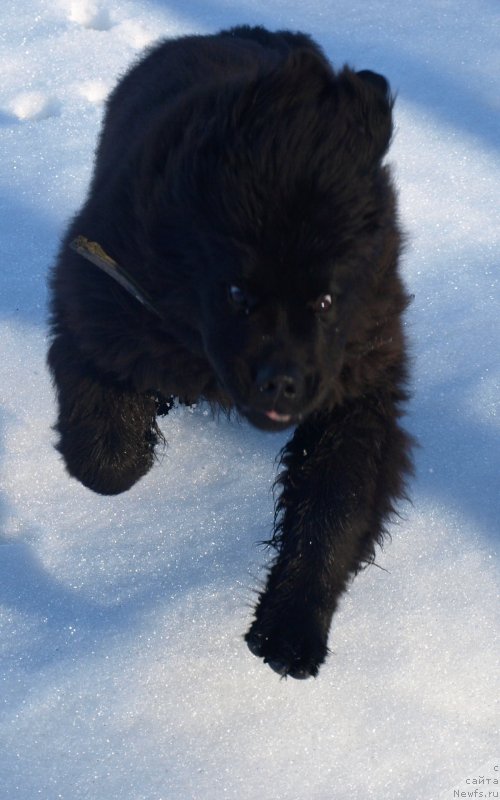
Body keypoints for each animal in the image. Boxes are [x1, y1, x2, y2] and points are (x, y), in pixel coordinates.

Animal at [47, 25, 414, 680]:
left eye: (326, 299)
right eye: (238, 293)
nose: (282, 382)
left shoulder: (360, 379)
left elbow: (334, 508)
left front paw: (290, 630)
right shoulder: (96, 299)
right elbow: (107, 464)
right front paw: (135, 442)